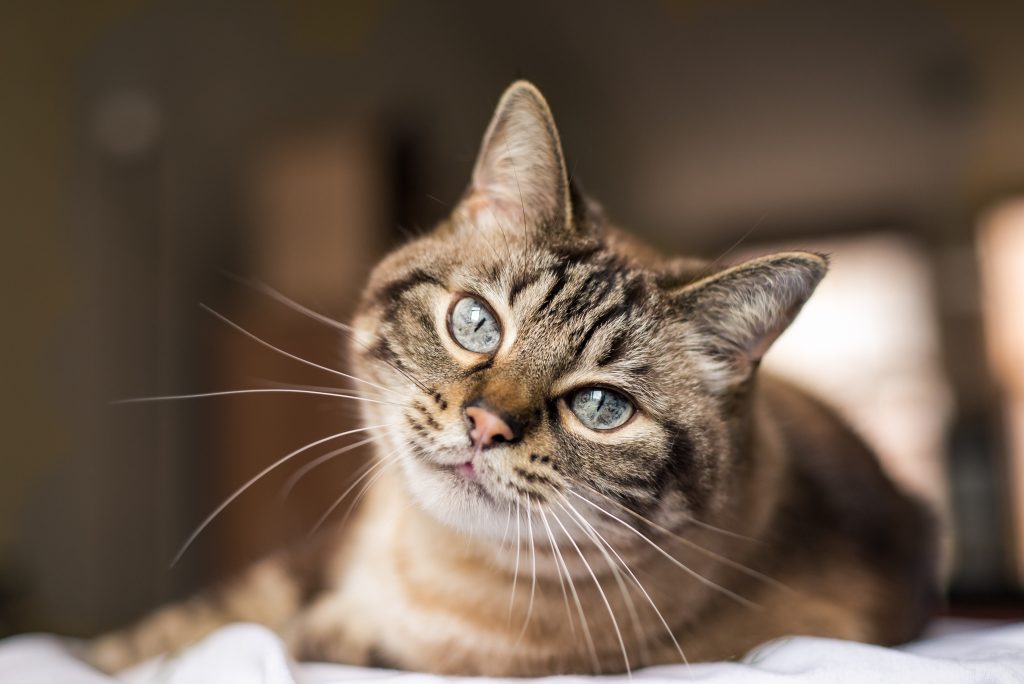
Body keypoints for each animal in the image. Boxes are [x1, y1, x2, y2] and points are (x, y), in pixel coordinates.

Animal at [88, 81, 937, 679]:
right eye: (477, 324)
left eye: (601, 406)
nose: (485, 426)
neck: (424, 563)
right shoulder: (310, 560)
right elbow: (175, 631)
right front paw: (104, 656)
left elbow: (304, 641)